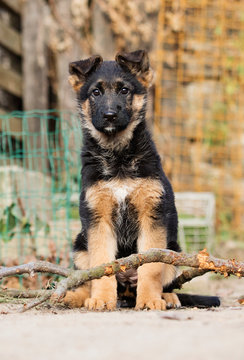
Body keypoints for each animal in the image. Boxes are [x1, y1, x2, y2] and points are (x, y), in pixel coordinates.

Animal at [63, 49, 218, 310]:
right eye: (96, 92)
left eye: (125, 90)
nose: (110, 116)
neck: (118, 155)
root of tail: (126, 287)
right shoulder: (99, 219)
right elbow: (101, 266)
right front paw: (102, 299)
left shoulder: (152, 217)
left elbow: (151, 268)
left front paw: (149, 300)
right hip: (81, 246)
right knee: (87, 279)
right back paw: (77, 297)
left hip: (172, 250)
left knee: (164, 280)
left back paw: (166, 297)